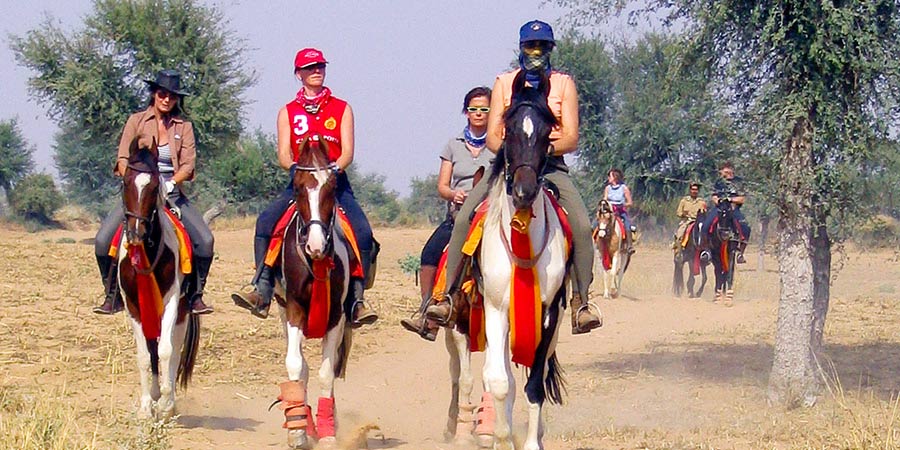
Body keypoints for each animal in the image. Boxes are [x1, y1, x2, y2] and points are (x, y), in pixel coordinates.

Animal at [117, 137, 200, 418]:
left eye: (154, 186)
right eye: (125, 181)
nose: (135, 233)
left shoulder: (172, 300)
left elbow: (166, 351)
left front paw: (165, 402)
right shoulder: (133, 305)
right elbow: (145, 355)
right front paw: (146, 406)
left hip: (183, 309)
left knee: (173, 349)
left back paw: (168, 400)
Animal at [272, 135, 354, 448]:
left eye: (331, 187)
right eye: (297, 187)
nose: (315, 245)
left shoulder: (336, 316)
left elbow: (326, 373)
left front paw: (328, 430)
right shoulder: (294, 308)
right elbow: (297, 367)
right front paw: (298, 430)